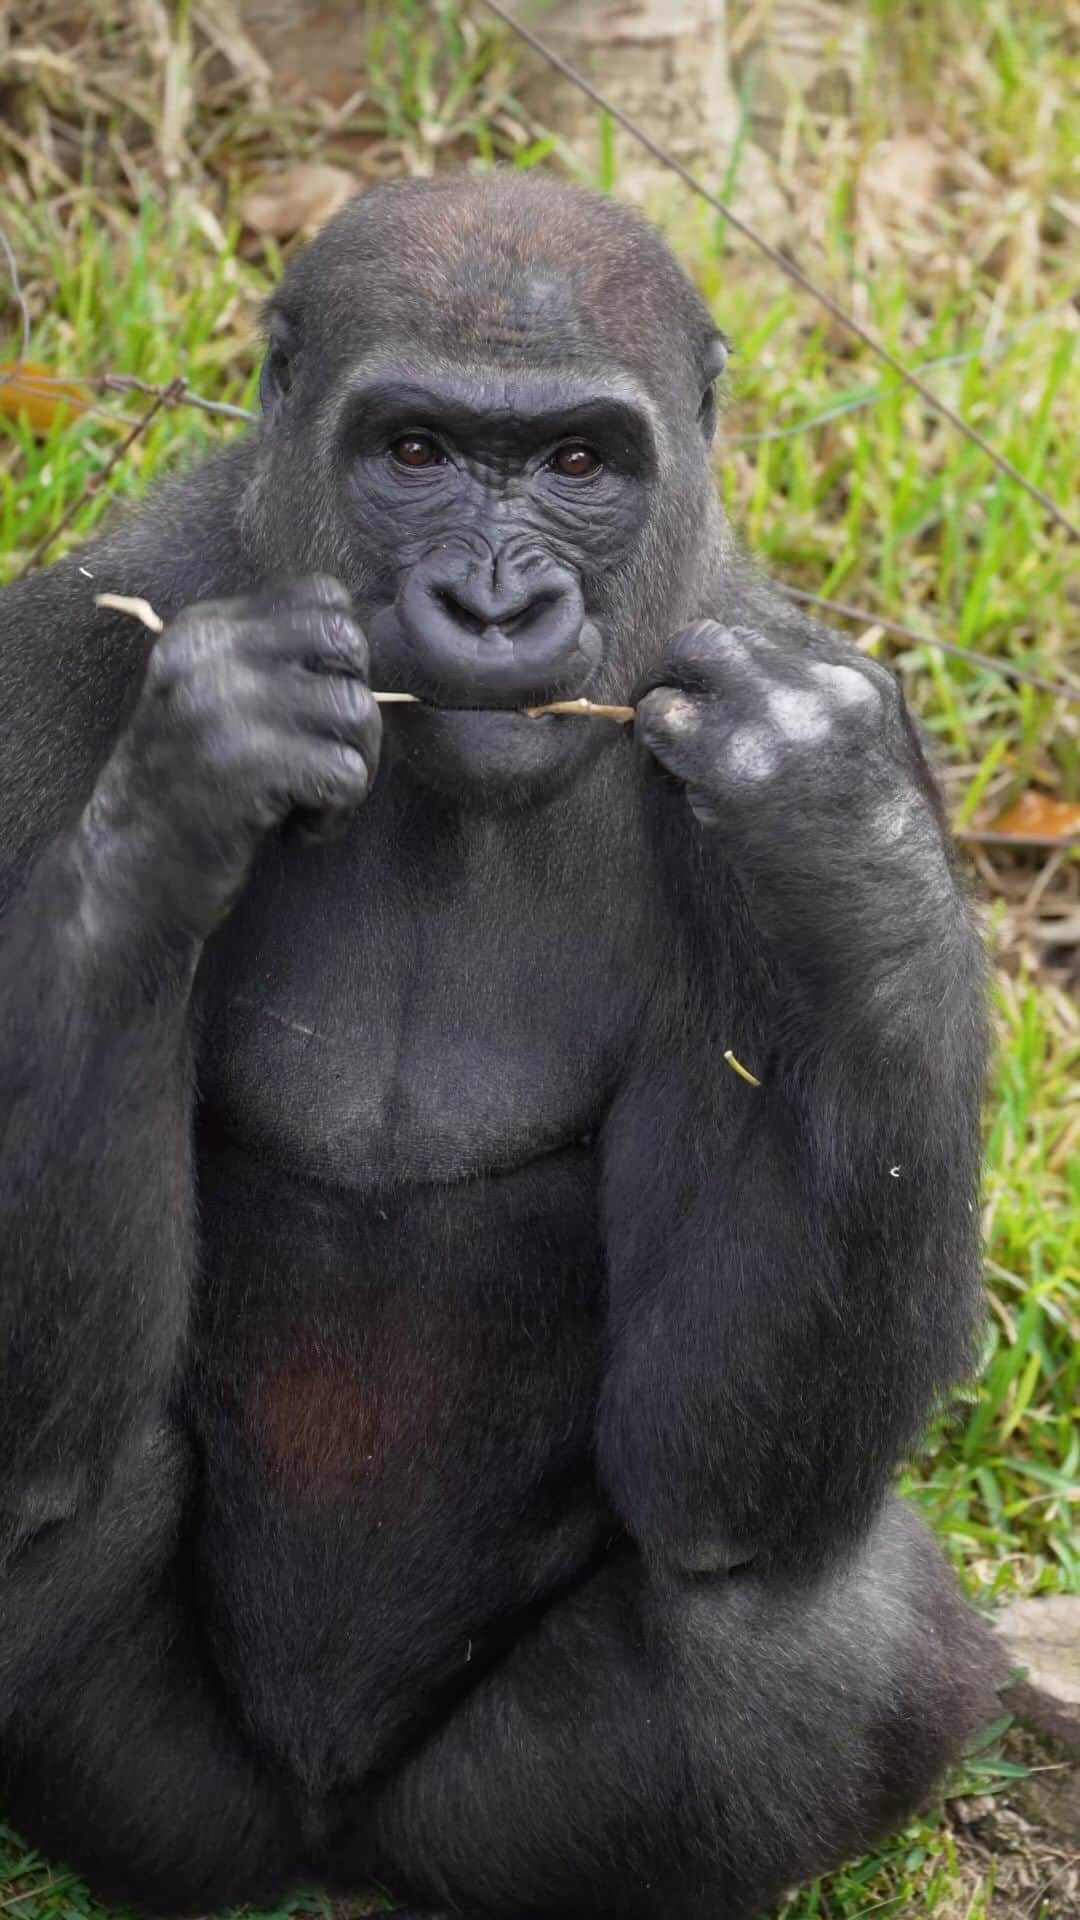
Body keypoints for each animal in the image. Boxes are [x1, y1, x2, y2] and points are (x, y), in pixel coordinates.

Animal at [0, 172, 999, 1912]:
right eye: (416, 451)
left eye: (580, 465)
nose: (492, 601)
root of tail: (323, 1842)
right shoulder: (44, 677)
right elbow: (26, 1428)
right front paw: (196, 773)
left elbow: (720, 1495)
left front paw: (831, 815)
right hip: (179, 1817)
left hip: (461, 1835)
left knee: (781, 1621)